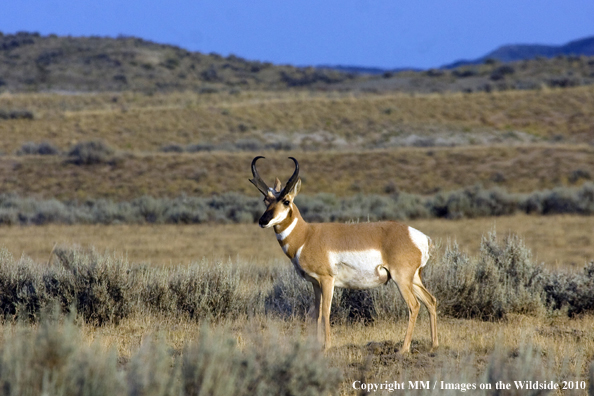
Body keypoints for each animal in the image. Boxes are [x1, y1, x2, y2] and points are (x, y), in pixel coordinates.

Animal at [247, 156, 438, 352]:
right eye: (266, 199)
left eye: (286, 201)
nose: (263, 221)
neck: (307, 235)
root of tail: (419, 237)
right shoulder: (315, 283)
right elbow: (316, 313)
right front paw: (317, 345)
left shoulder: (327, 280)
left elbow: (326, 312)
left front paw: (327, 346)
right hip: (413, 280)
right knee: (431, 301)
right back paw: (434, 345)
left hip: (401, 279)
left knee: (414, 305)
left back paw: (403, 349)